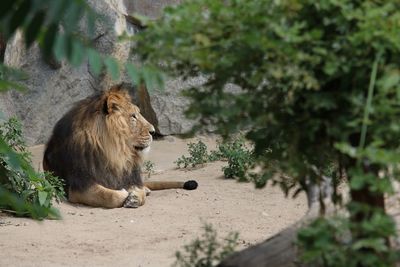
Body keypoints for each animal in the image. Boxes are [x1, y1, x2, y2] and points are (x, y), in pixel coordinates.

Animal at [43, 84, 198, 209]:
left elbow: (139, 190)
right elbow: (107, 195)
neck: (114, 154)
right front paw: (124, 194)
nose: (153, 131)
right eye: (133, 116)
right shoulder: (78, 186)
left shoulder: (128, 175)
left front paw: (136, 196)